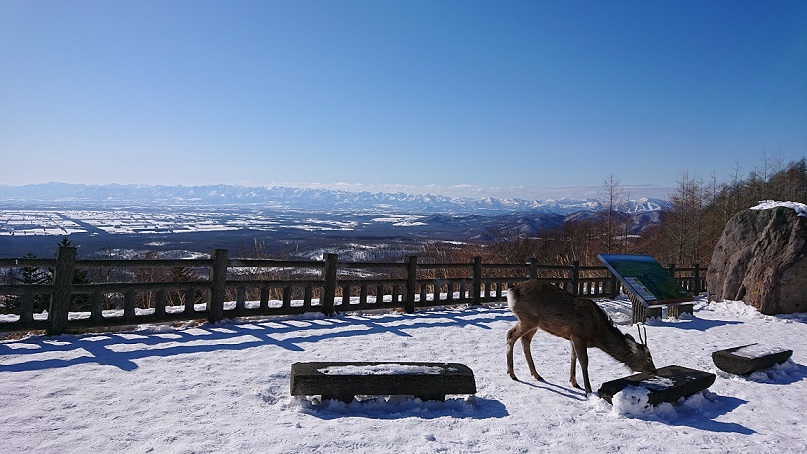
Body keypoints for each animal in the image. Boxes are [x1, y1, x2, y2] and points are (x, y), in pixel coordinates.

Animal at [504, 280, 656, 394]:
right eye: (648, 358)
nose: (654, 371)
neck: (596, 333)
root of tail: (512, 290)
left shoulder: (572, 336)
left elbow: (573, 357)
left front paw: (574, 382)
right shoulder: (578, 335)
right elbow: (584, 361)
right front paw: (588, 389)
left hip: (534, 323)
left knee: (525, 340)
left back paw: (536, 374)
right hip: (528, 318)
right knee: (510, 335)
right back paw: (512, 374)